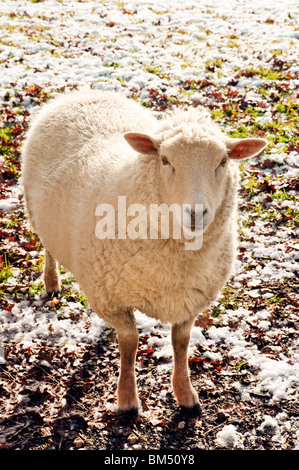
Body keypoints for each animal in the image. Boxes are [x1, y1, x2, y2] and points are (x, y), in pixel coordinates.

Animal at [22, 89, 268, 418]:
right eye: (165, 160)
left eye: (223, 161)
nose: (196, 213)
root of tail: (83, 92)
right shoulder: (111, 298)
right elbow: (130, 344)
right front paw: (127, 400)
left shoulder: (191, 301)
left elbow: (181, 344)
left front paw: (186, 395)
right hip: (36, 213)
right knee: (48, 247)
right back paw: (51, 282)